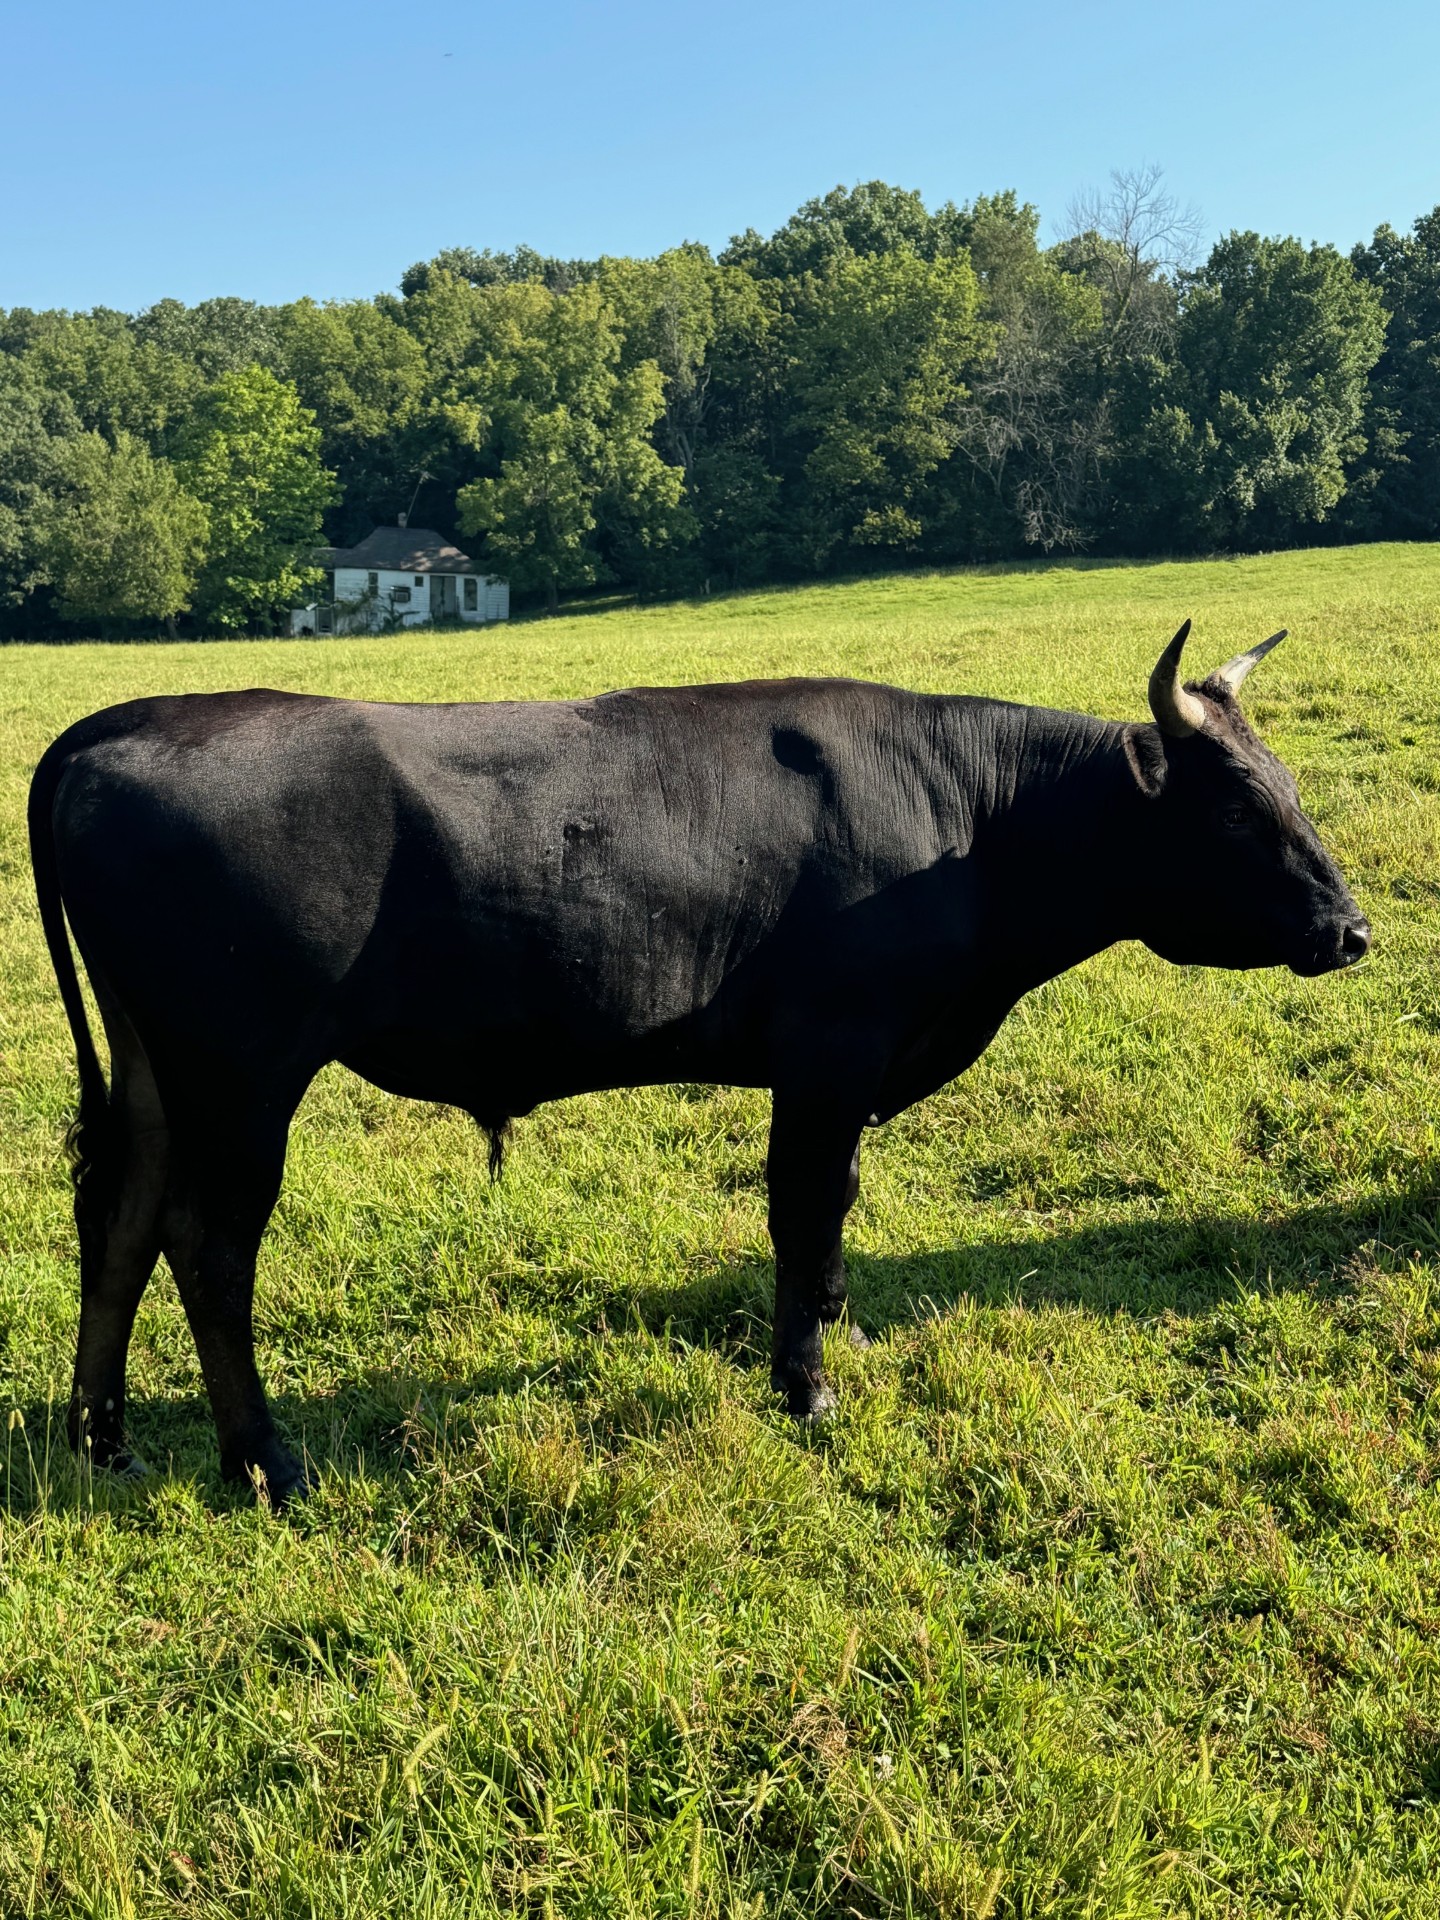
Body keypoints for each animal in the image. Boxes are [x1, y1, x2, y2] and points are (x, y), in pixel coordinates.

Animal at [28, 622, 1367, 1489]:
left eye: (1296, 787)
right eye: (1236, 807)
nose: (1352, 929)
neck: (971, 822)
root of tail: (121, 722)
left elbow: (835, 1215)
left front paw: (841, 1339)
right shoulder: (832, 1051)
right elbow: (805, 1209)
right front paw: (806, 1385)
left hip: (155, 1067)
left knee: (122, 1220)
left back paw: (102, 1440)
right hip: (242, 1075)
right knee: (207, 1245)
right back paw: (261, 1457)